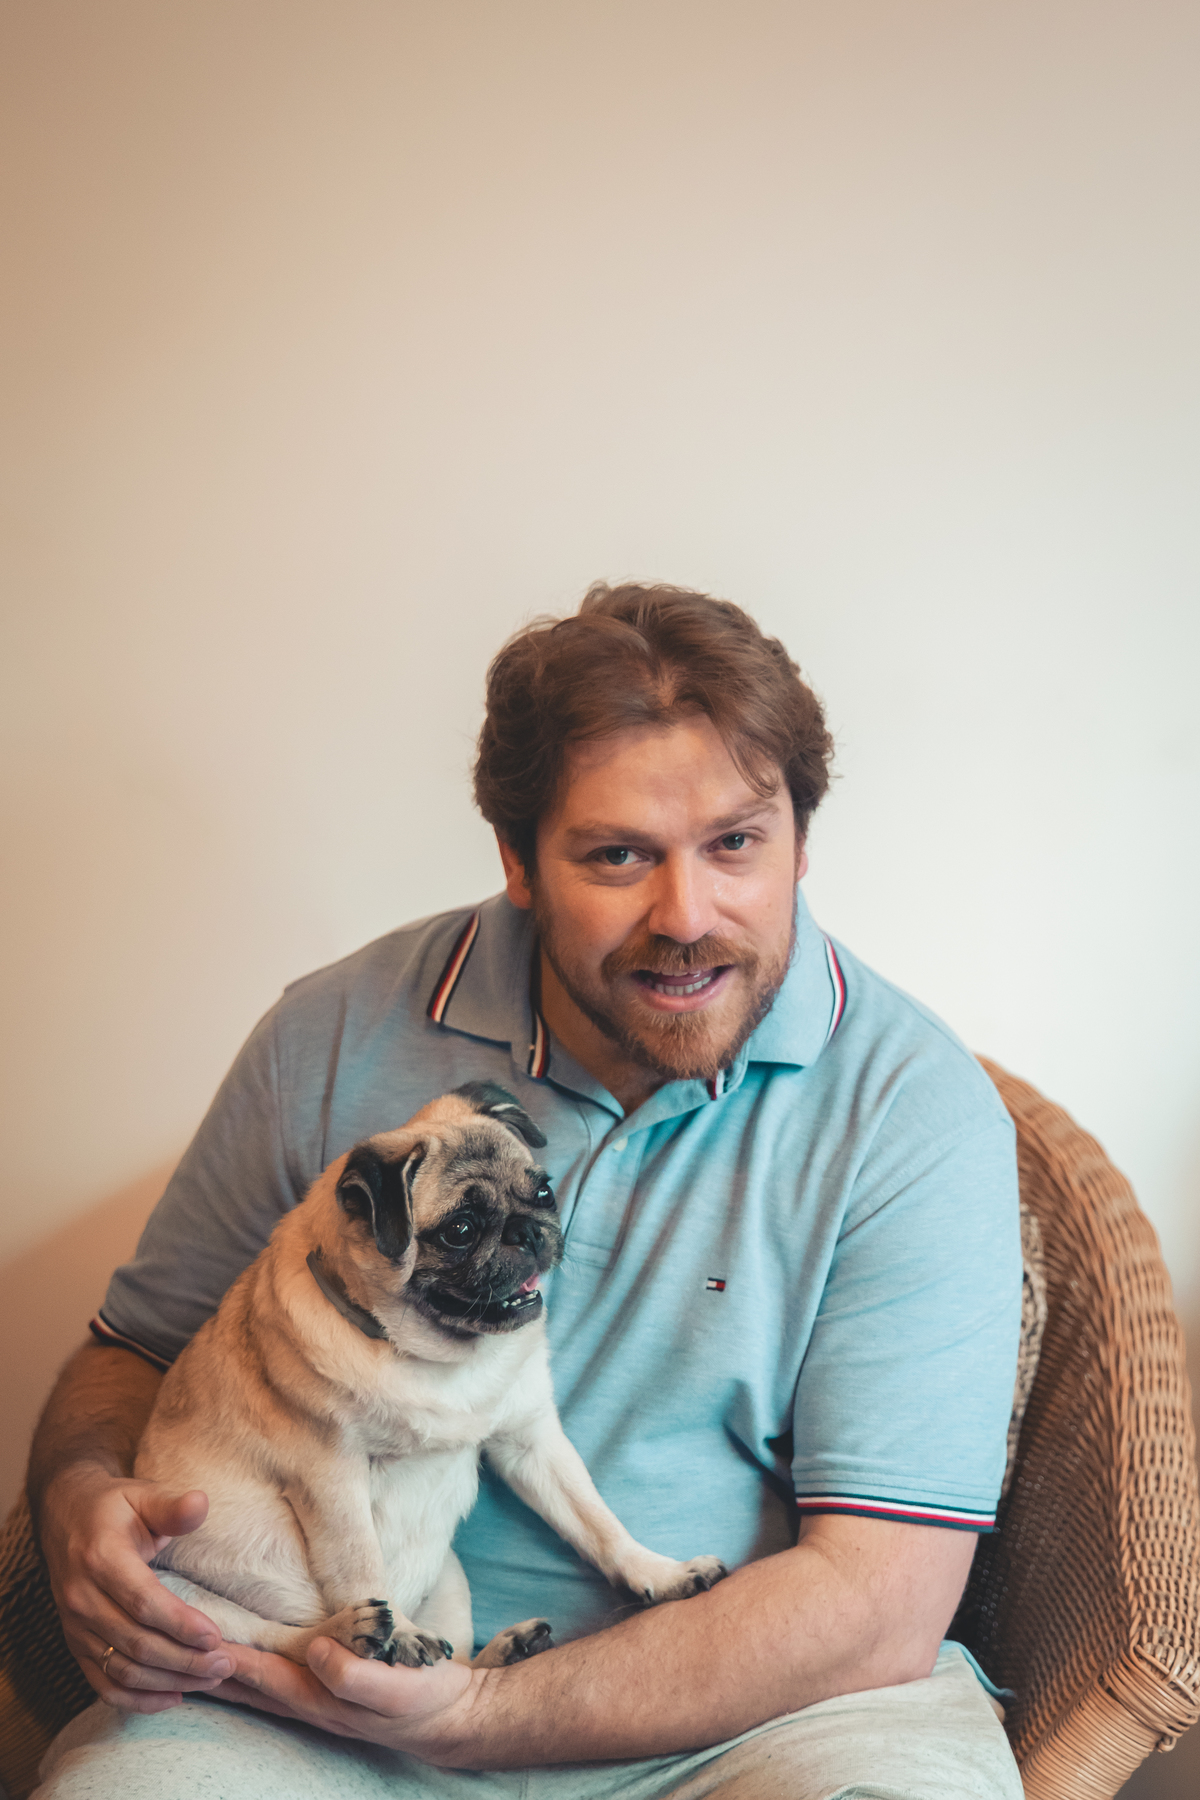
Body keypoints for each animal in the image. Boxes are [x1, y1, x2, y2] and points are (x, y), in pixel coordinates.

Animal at [134, 1081, 727, 1669]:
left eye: (543, 1194)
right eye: (460, 1231)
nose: (527, 1231)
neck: (437, 1356)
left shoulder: (531, 1442)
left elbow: (598, 1521)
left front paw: (659, 1572)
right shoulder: (330, 1477)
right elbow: (359, 1562)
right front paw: (398, 1632)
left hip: (451, 1578)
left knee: (461, 1665)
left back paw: (507, 1649)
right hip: (175, 1587)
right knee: (286, 1641)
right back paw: (358, 1629)